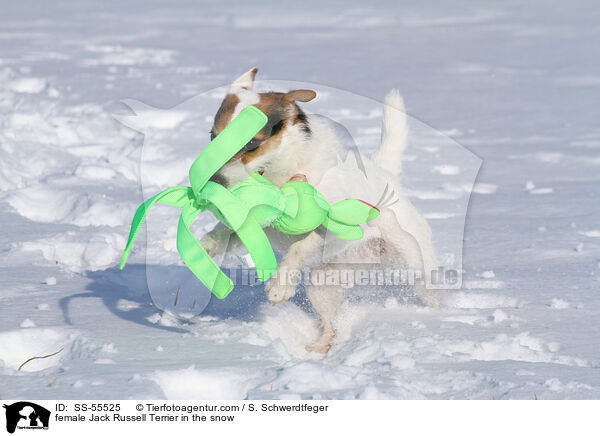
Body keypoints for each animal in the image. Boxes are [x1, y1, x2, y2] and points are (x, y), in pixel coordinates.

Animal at [202, 69, 436, 354]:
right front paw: (209, 243)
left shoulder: (331, 223)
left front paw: (280, 285)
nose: (214, 183)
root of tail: (386, 174)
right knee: (331, 325)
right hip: (324, 281)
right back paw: (319, 348)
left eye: (251, 144)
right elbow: (228, 229)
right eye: (213, 137)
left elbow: (300, 246)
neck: (282, 172)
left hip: (414, 259)